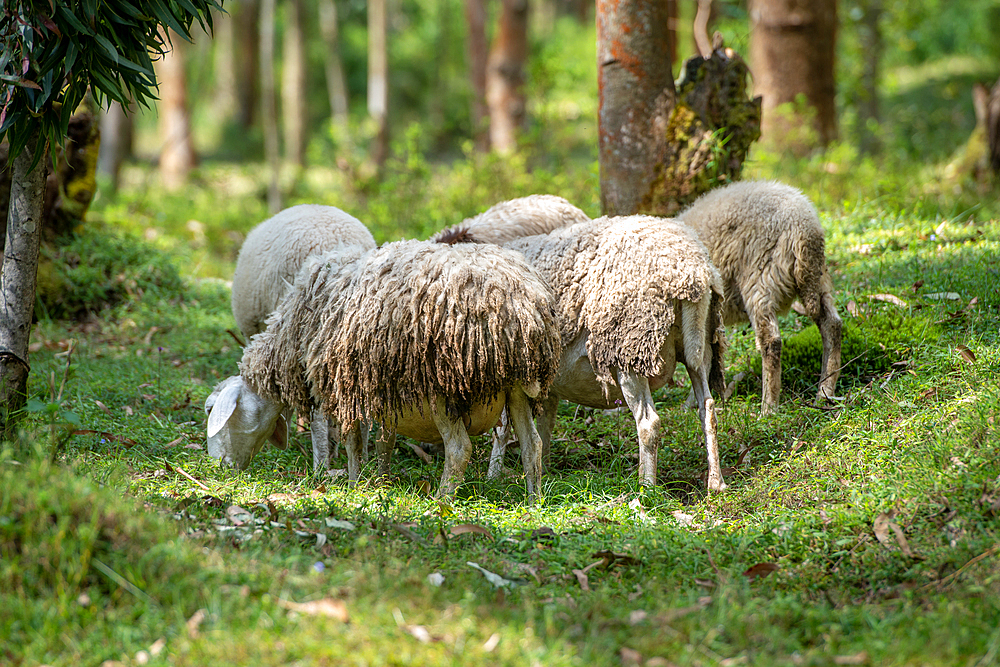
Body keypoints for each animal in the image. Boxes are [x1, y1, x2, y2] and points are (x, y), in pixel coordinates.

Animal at [207, 240, 568, 500]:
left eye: (212, 410)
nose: (220, 468)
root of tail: (523, 304)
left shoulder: (343, 383)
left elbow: (354, 442)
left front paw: (354, 483)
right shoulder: (382, 384)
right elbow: (385, 440)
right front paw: (380, 479)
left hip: (443, 383)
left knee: (459, 449)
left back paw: (442, 501)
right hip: (517, 386)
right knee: (532, 443)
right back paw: (534, 500)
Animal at [486, 217, 728, 494]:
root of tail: (693, 272)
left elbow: (502, 429)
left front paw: (493, 478)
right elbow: (545, 423)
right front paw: (543, 472)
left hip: (631, 346)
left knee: (649, 422)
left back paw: (646, 487)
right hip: (700, 345)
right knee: (708, 410)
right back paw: (716, 482)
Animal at [676, 180, 840, 414]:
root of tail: (803, 227)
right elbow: (703, 358)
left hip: (760, 277)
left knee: (771, 340)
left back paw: (768, 407)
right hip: (817, 279)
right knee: (832, 324)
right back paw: (825, 391)